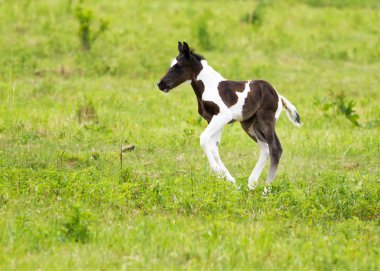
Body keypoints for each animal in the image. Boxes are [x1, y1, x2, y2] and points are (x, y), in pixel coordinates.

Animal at [156, 42, 302, 191]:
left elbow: (204, 139)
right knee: (265, 148)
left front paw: (216, 171)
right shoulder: (211, 119)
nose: (160, 84)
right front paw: (229, 179)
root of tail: (278, 96)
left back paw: (266, 189)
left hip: (266, 121)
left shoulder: (222, 117)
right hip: (250, 125)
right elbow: (214, 147)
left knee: (275, 148)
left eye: (178, 66)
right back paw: (251, 184)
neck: (209, 87)